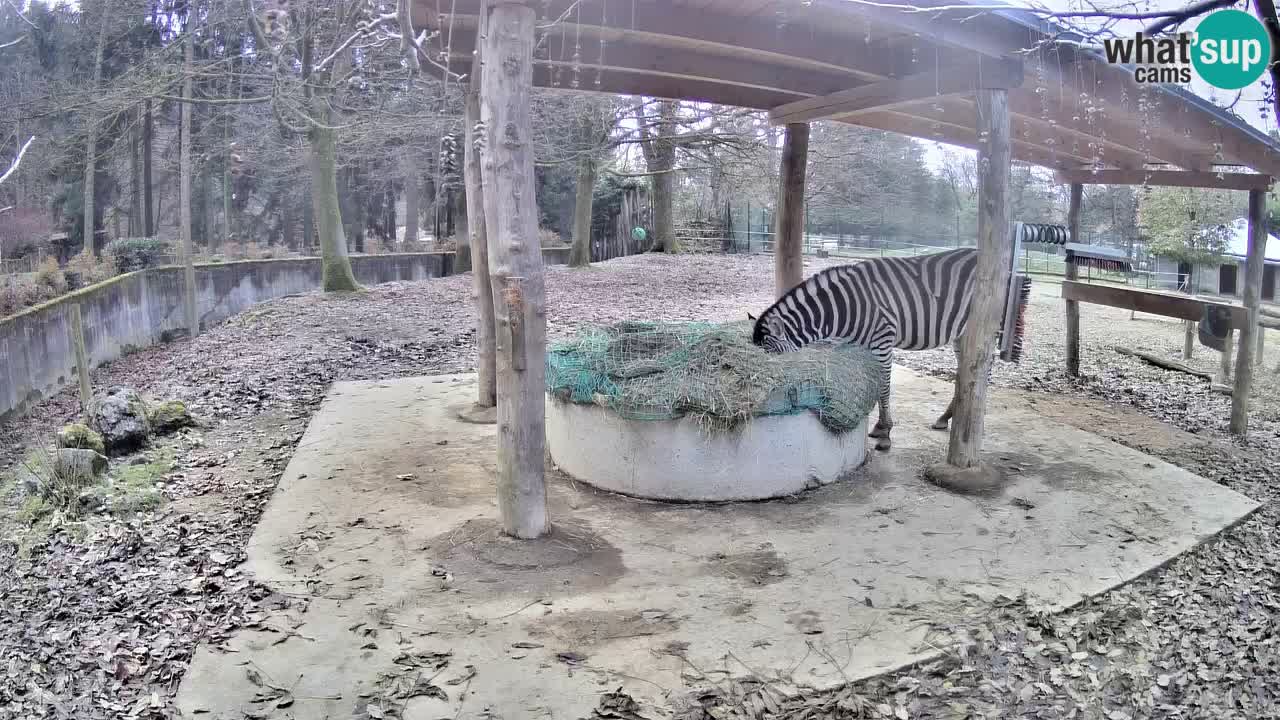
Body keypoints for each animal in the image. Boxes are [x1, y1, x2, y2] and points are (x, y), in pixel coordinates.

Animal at [747, 245, 1013, 448]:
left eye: (772, 356)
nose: (762, 397)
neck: (844, 307)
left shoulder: (883, 341)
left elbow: (884, 387)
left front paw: (885, 432)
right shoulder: (862, 344)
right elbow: (873, 383)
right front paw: (877, 424)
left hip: (985, 328)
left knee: (982, 371)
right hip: (962, 334)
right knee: (965, 372)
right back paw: (946, 417)